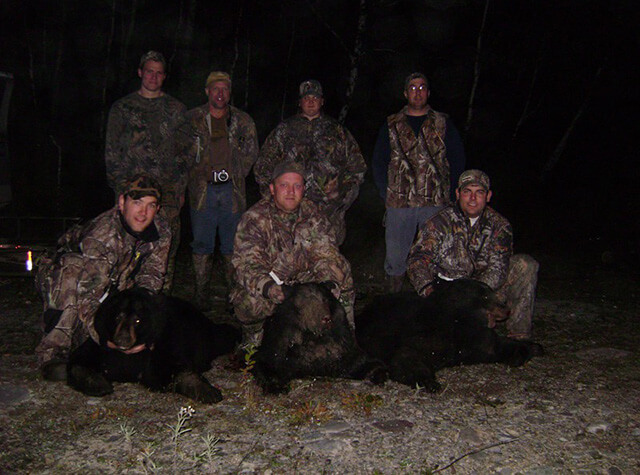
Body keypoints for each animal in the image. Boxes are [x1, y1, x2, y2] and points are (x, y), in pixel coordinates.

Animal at [66, 288, 240, 404]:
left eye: (137, 320)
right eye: (118, 317)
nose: (123, 339)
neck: (128, 353)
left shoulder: (163, 341)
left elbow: (175, 369)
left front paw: (208, 391)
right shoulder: (101, 345)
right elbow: (77, 362)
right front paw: (98, 383)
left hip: (205, 334)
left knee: (222, 335)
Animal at [252, 282, 388, 394]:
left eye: (325, 299)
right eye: (307, 300)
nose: (326, 318)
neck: (313, 336)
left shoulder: (340, 346)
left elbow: (359, 361)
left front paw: (375, 373)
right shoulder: (280, 343)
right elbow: (266, 363)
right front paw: (276, 386)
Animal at [358, 278, 544, 392]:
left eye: (492, 292)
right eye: (485, 295)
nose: (507, 308)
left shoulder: (474, 338)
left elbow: (498, 346)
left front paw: (532, 348)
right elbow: (405, 358)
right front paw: (429, 382)